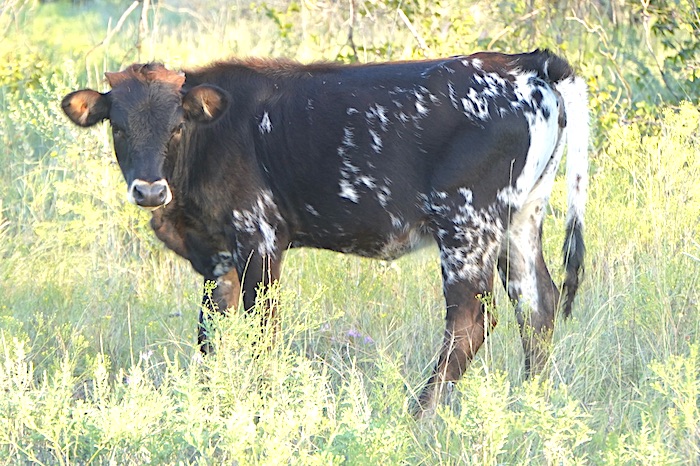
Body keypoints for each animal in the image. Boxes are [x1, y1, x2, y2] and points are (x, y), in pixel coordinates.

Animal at [60, 50, 588, 416]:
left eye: (175, 126)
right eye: (119, 127)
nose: (149, 189)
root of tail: (525, 63)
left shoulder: (260, 237)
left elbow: (262, 330)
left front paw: (261, 405)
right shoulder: (217, 257)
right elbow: (211, 334)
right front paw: (210, 403)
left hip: (467, 223)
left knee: (470, 322)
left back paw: (418, 416)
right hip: (520, 220)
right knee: (537, 306)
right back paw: (531, 407)